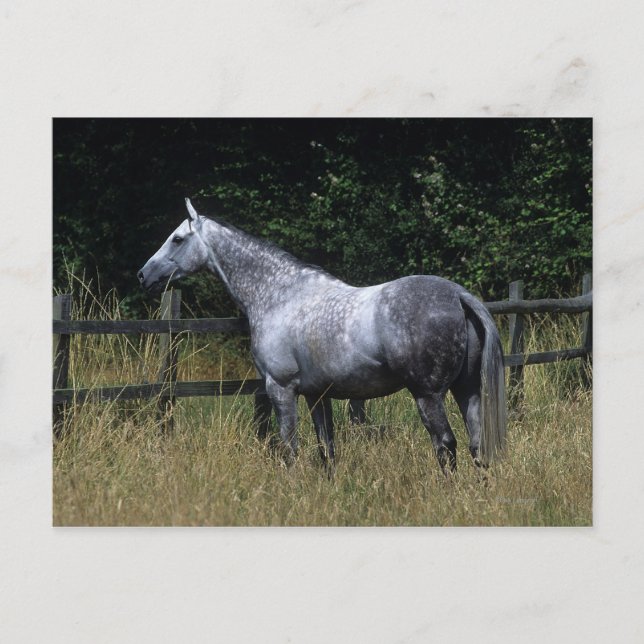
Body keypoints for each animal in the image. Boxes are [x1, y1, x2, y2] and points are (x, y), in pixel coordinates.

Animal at [138, 199, 506, 473]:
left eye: (177, 238)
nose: (144, 275)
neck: (280, 296)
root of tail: (458, 295)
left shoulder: (281, 388)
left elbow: (289, 449)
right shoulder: (318, 395)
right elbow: (326, 449)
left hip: (428, 395)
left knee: (446, 445)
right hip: (467, 390)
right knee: (476, 444)